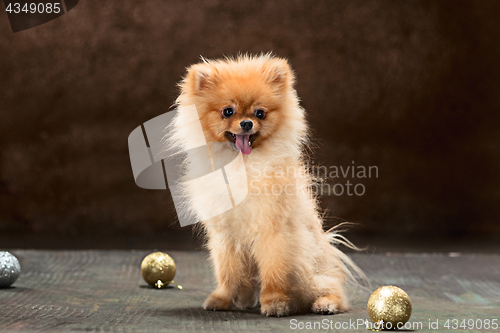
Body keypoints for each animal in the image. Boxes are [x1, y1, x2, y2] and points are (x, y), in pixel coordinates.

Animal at [168, 53, 364, 316]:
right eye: (227, 112)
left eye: (260, 113)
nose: (246, 123)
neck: (241, 165)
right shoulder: (225, 236)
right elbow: (227, 271)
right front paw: (223, 298)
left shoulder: (273, 230)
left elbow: (274, 270)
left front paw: (275, 302)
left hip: (308, 266)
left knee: (330, 286)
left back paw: (325, 303)